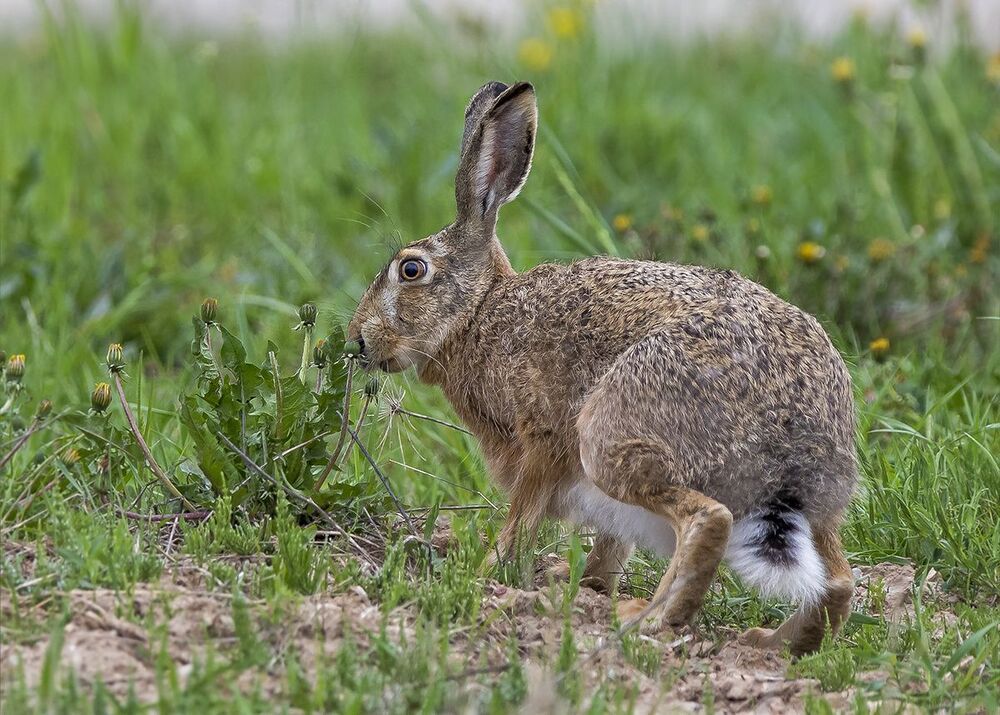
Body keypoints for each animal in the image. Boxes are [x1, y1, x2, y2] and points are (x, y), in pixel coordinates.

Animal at [347, 80, 857, 655]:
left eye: (411, 270)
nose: (357, 339)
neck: (481, 313)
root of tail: (791, 432)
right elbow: (610, 546)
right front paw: (586, 585)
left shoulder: (542, 440)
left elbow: (523, 517)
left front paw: (489, 573)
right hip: (816, 511)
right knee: (838, 581)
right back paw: (771, 643)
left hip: (611, 438)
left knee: (708, 520)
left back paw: (648, 620)